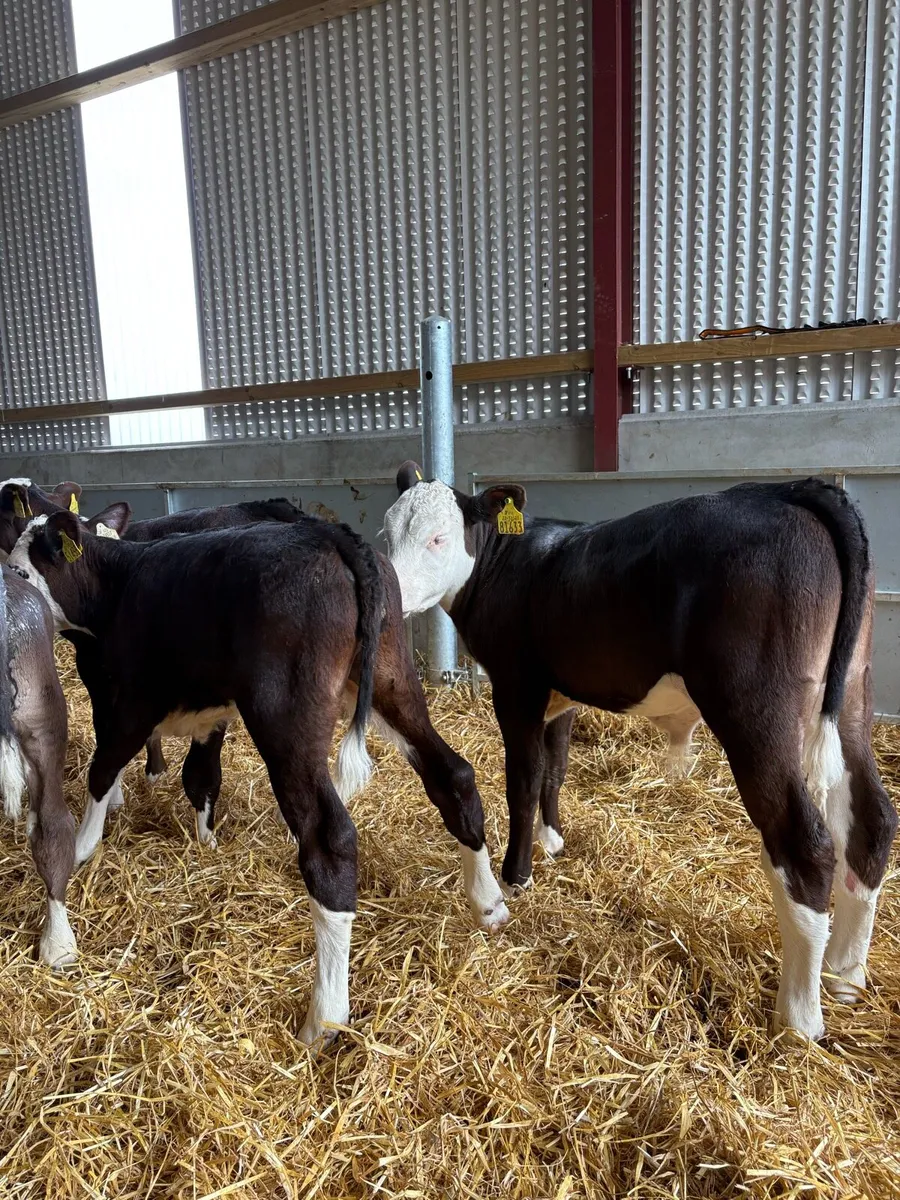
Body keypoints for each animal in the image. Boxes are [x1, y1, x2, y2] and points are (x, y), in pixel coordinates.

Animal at [8, 509, 507, 1044]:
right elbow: (199, 776)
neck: (115, 585)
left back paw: (324, 1017)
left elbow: (102, 771)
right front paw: (206, 841)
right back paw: (489, 904)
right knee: (454, 774)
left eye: (19, 570)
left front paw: (84, 845)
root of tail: (330, 535)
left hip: (285, 717)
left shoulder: (130, 706)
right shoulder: (203, 712)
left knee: (329, 839)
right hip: (395, 683)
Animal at [381, 463, 898, 1042]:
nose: (388, 592)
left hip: (757, 711)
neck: (512, 563)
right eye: (387, 532)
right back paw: (845, 974)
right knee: (873, 819)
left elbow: (523, 780)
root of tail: (790, 489)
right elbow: (554, 771)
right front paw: (553, 841)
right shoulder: (561, 694)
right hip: (852, 691)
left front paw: (517, 875)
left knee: (805, 845)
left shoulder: (517, 688)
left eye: (437, 537)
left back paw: (799, 1017)